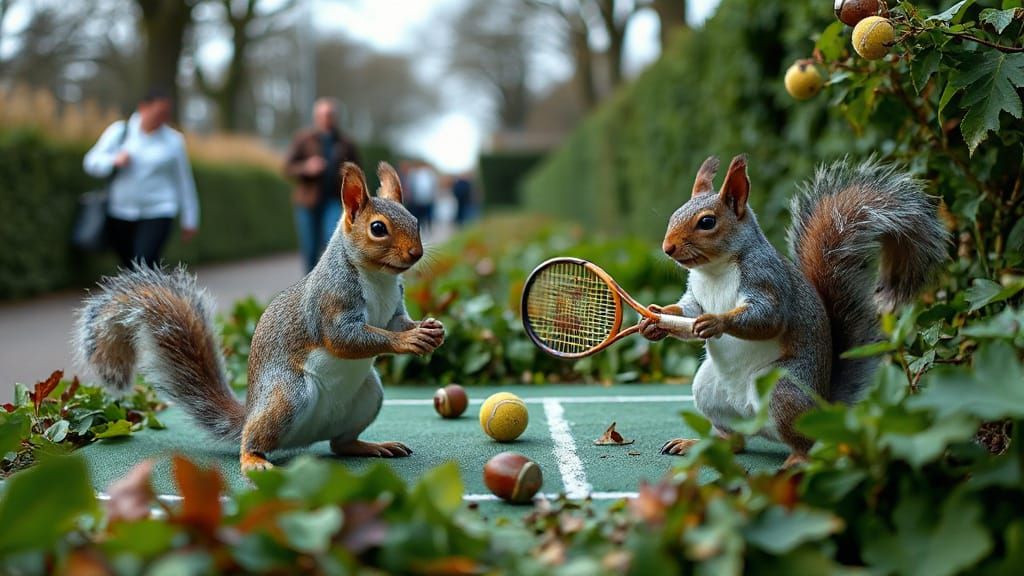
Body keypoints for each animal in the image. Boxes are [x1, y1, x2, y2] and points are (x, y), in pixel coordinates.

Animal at [73, 162, 445, 472]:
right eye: (378, 228)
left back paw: (370, 446)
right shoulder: (330, 303)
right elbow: (343, 338)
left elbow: (395, 323)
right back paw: (253, 459)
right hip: (288, 396)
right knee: (253, 440)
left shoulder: (393, 310)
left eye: (415, 220)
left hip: (368, 395)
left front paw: (431, 329)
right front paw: (408, 340)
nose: (416, 253)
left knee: (340, 444)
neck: (378, 277)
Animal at [638, 155, 948, 465]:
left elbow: (768, 318)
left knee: (806, 443)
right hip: (707, 389)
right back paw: (698, 444)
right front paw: (654, 320)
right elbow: (687, 311)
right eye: (674, 216)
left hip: (782, 390)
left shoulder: (767, 280)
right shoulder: (695, 296)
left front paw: (715, 322)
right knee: (735, 439)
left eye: (707, 222)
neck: (715, 270)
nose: (667, 247)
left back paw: (797, 461)